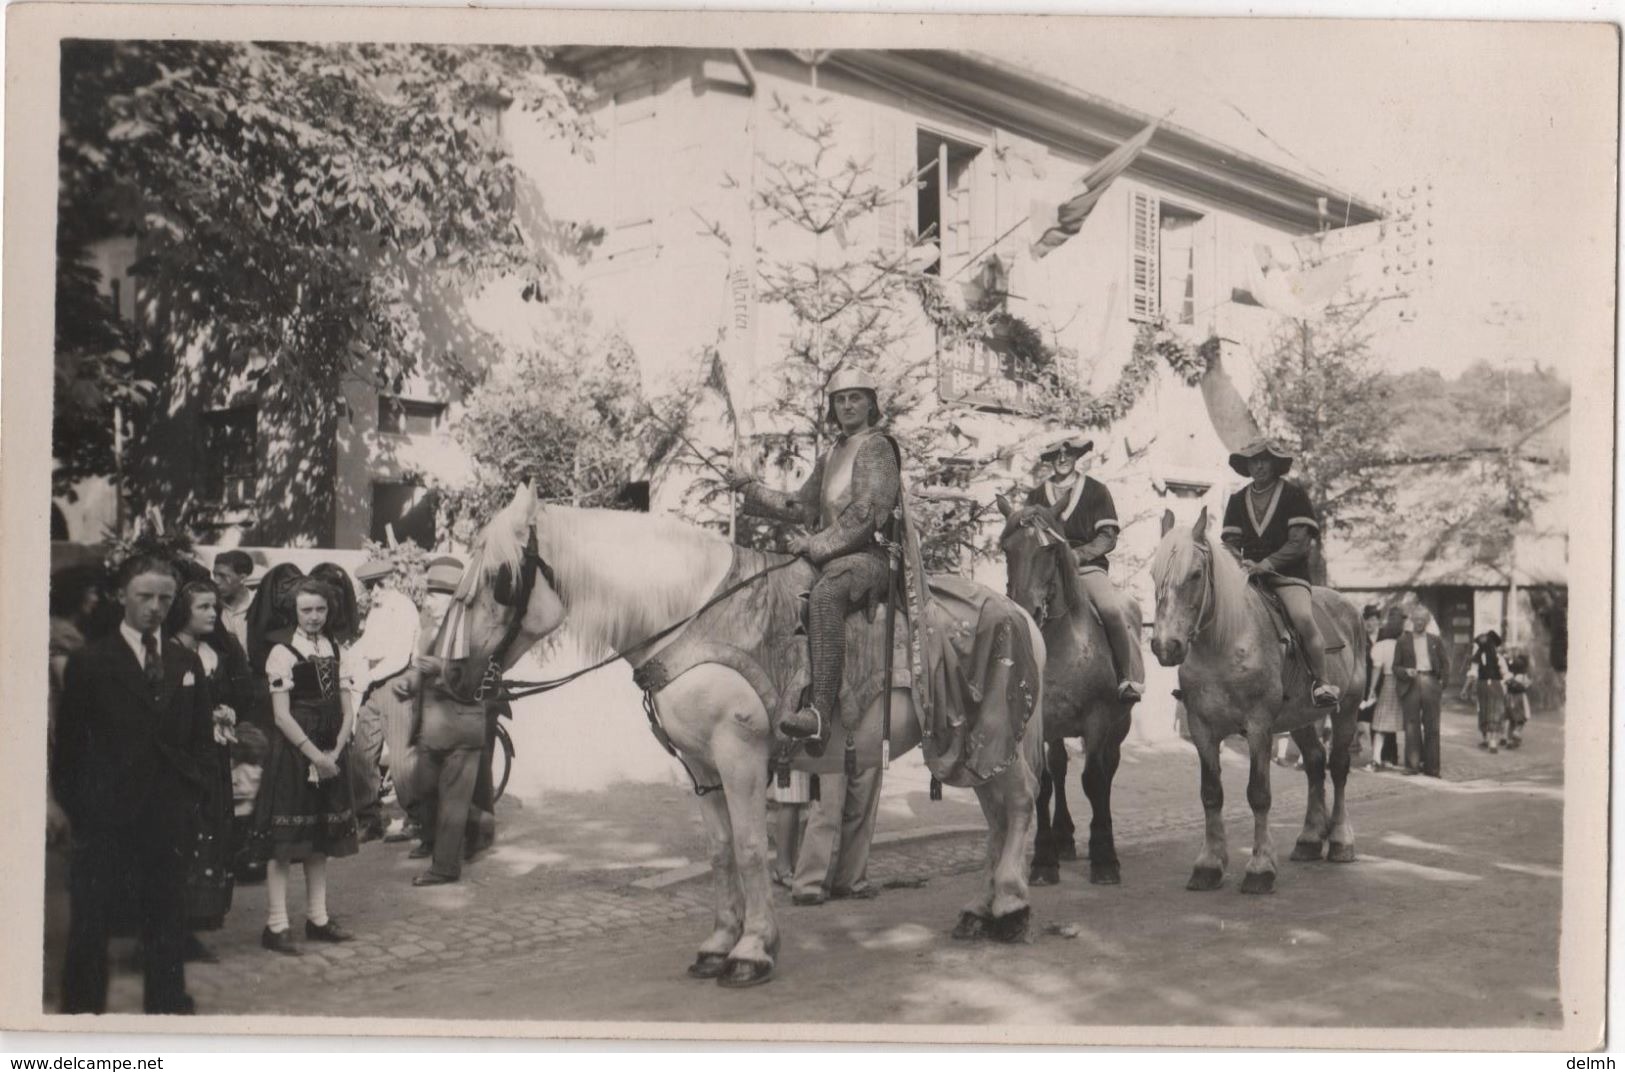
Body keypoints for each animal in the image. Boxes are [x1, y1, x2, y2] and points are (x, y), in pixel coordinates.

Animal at [451, 487, 1046, 987]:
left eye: (500, 580)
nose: (453, 676)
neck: (691, 615)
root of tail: (1019, 612)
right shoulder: (701, 766)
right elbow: (719, 851)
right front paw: (718, 942)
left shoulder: (740, 755)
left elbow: (751, 846)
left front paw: (753, 949)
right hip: (966, 746)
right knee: (997, 817)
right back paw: (981, 908)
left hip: (992, 738)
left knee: (1019, 804)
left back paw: (1011, 908)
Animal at [994, 503, 1137, 890]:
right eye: (1007, 549)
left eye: (1049, 551)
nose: (1025, 610)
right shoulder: (1040, 722)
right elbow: (1043, 783)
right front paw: (1044, 861)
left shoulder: (1098, 719)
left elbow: (1094, 780)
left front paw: (1105, 859)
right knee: (1059, 769)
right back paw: (1064, 838)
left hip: (1118, 727)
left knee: (1107, 770)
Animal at [1150, 506, 1365, 890]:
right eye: (1153, 574)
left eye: (1195, 574)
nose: (1165, 645)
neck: (1224, 644)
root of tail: (1349, 607)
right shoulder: (1202, 728)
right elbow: (1211, 793)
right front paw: (1209, 864)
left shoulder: (1259, 727)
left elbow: (1259, 794)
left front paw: (1261, 868)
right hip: (1300, 718)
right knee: (1314, 763)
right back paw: (1310, 839)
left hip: (1347, 710)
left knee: (1338, 767)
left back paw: (1340, 839)